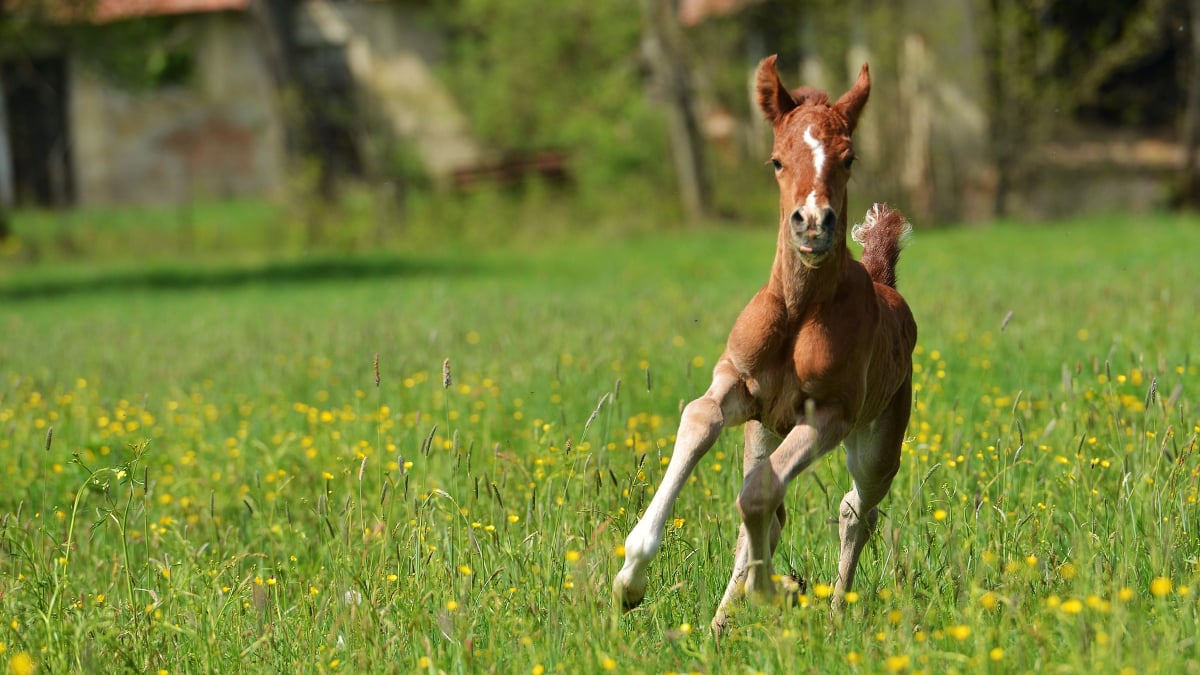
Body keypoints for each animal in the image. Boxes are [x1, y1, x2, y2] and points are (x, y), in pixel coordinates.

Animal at [614, 53, 912, 629]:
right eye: (776, 161)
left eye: (849, 158)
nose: (813, 224)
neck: (797, 314)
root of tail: (885, 280)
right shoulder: (737, 383)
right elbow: (700, 420)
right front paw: (629, 582)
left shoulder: (830, 414)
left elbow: (756, 497)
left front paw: (778, 590)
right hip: (764, 430)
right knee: (777, 512)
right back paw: (717, 627)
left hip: (878, 441)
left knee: (856, 511)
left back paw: (833, 613)